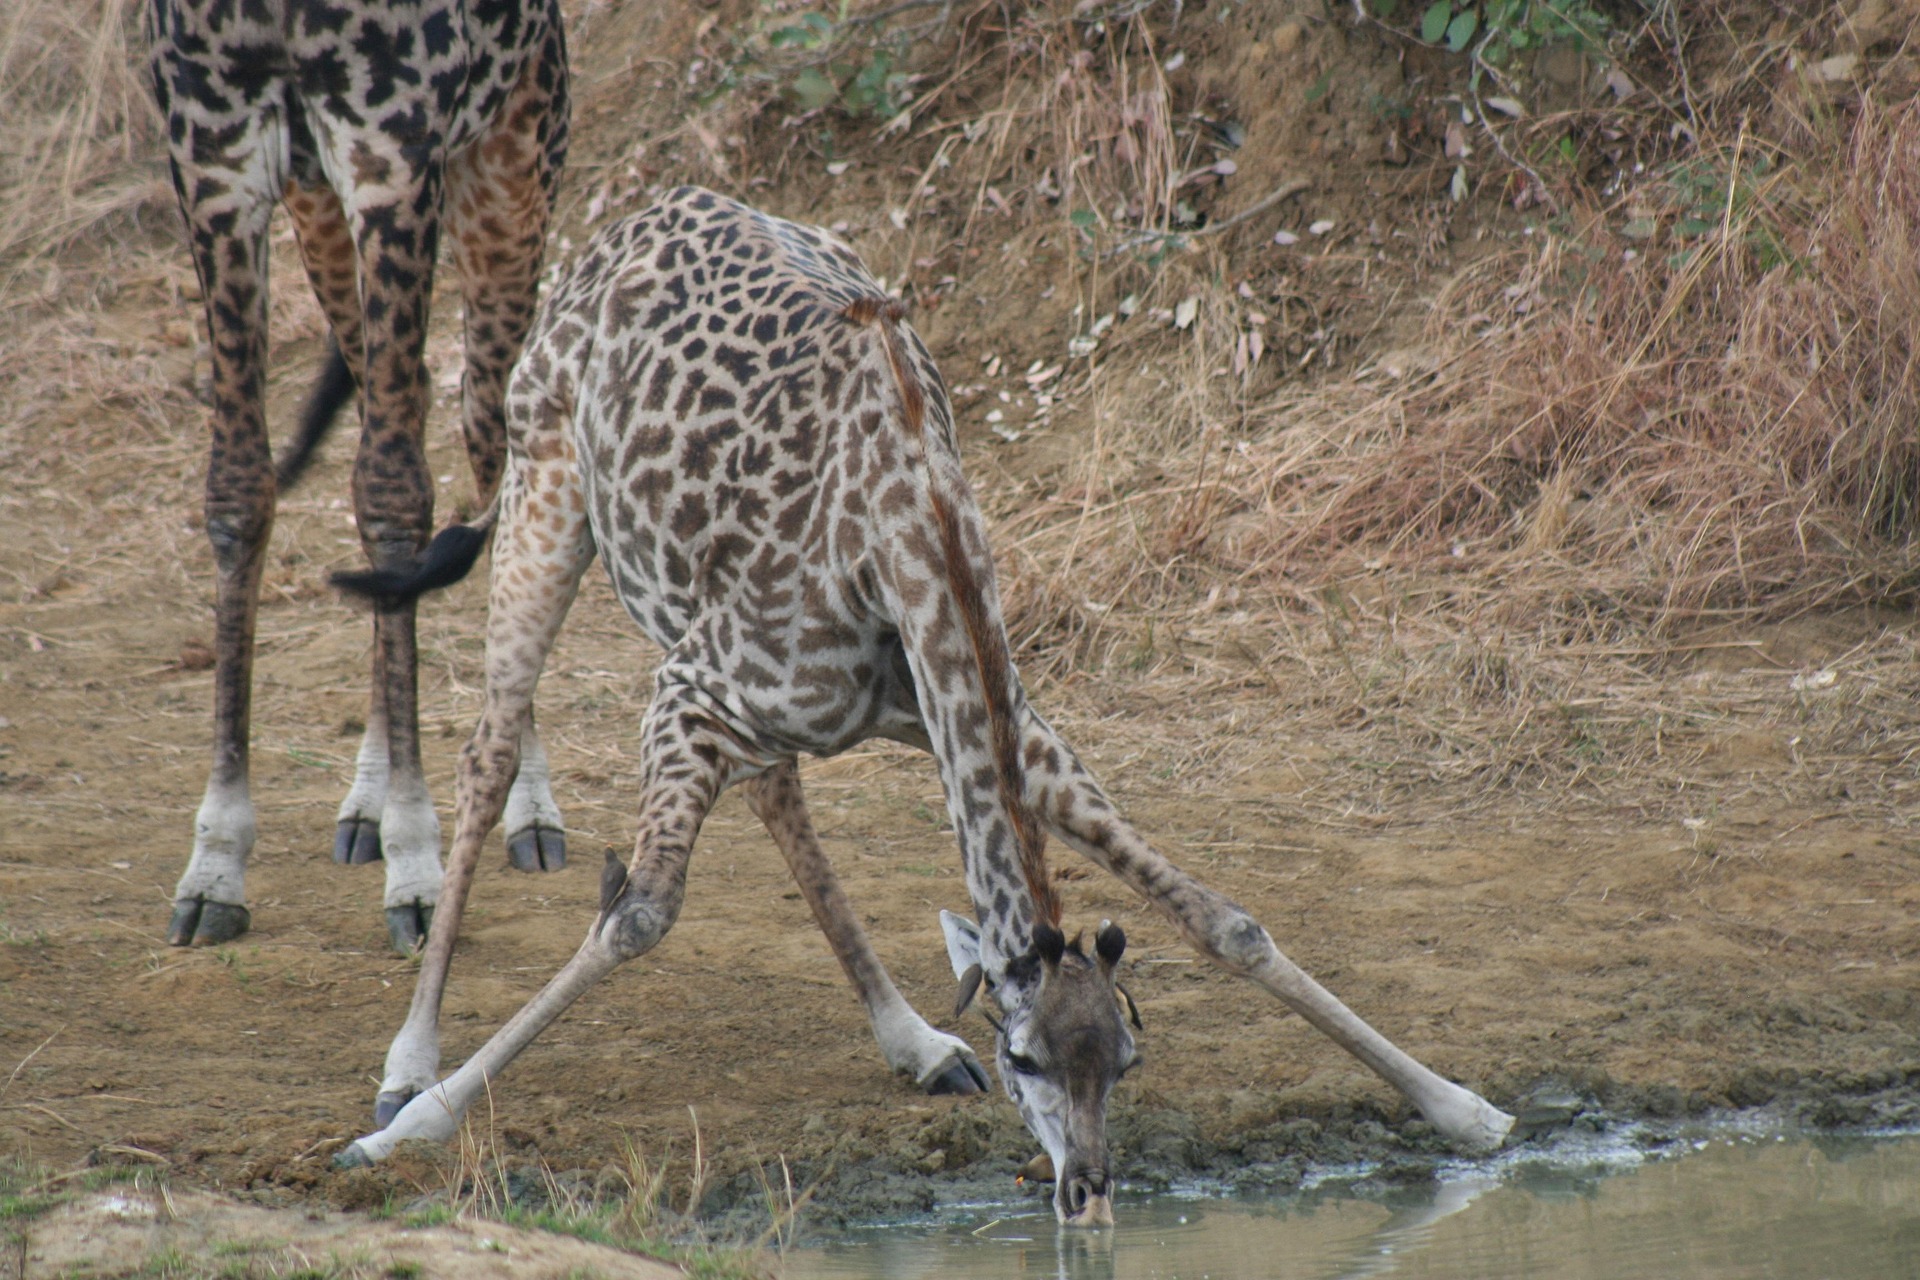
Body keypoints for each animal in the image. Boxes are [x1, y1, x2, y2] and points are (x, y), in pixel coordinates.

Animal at [148, 0, 572, 954]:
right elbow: (239, 489)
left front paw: (418, 866)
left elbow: (393, 493)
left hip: (511, 184)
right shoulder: (215, 163)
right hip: (320, 220)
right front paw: (216, 860)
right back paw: (368, 802)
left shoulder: (393, 159)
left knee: (492, 459)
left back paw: (526, 805)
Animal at [329, 188, 1515, 1223]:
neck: (913, 541)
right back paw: (406, 1057)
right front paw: (401, 1134)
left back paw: (911, 1041)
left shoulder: (998, 724)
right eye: (1025, 1054)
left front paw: (1468, 1110)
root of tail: (625, 221)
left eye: (1127, 1056)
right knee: (491, 748)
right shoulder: (692, 692)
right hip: (547, 498)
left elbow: (1226, 918)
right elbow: (638, 915)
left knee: (776, 789)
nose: (1086, 1191)